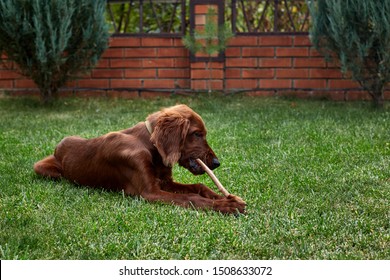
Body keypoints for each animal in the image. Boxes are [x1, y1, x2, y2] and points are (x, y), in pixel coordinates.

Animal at [34, 105, 247, 214]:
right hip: (43, 169)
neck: (150, 147)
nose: (216, 163)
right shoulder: (149, 192)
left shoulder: (164, 182)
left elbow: (198, 186)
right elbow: (191, 198)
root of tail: (58, 146)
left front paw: (224, 197)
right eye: (197, 134)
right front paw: (227, 205)